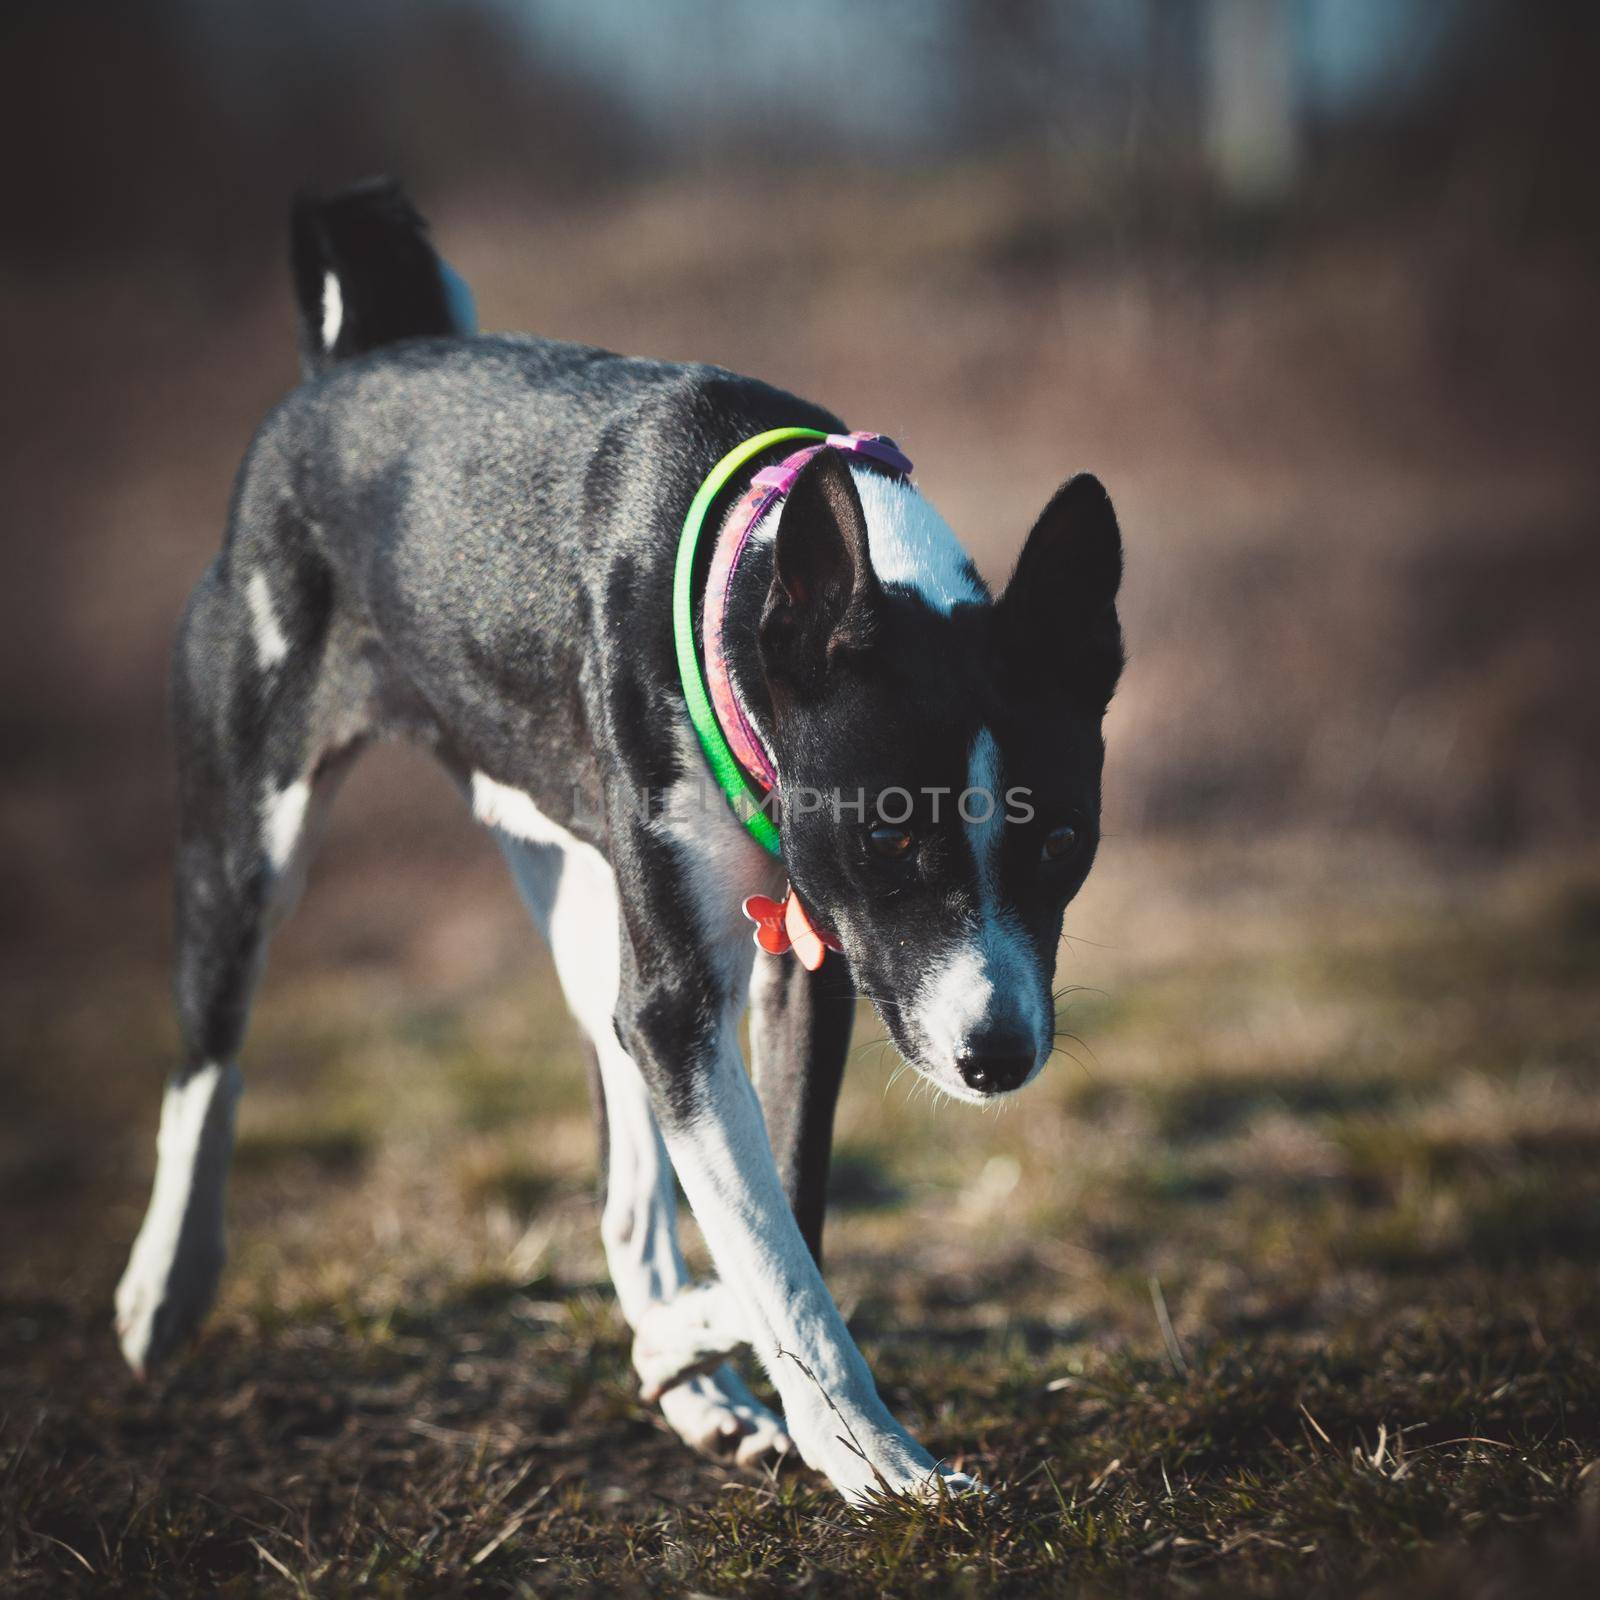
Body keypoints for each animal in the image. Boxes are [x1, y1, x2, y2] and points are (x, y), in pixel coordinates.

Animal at [116, 181, 1126, 1504]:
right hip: (250, 837)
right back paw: (164, 1286)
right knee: (209, 1054)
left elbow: (782, 1214)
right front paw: (875, 1458)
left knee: (629, 1188)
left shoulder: (803, 966)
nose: (996, 1055)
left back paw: (686, 1373)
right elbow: (780, 1260)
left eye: (1059, 840)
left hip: (582, 907)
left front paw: (705, 1353)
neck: (747, 586)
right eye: (891, 843)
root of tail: (346, 362)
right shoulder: (691, 997)